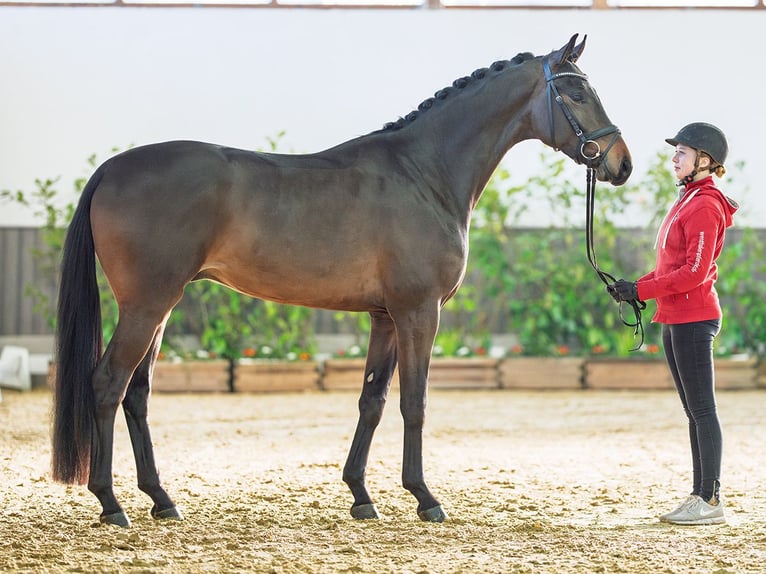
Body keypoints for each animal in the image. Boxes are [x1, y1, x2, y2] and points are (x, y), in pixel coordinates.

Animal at [51, 35, 632, 532]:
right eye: (576, 92)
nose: (621, 163)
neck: (424, 174)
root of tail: (111, 169)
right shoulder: (419, 312)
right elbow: (414, 402)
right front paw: (425, 498)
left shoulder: (385, 317)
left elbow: (371, 400)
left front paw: (360, 496)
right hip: (147, 305)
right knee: (108, 384)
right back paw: (111, 504)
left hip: (161, 308)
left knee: (137, 394)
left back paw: (161, 500)